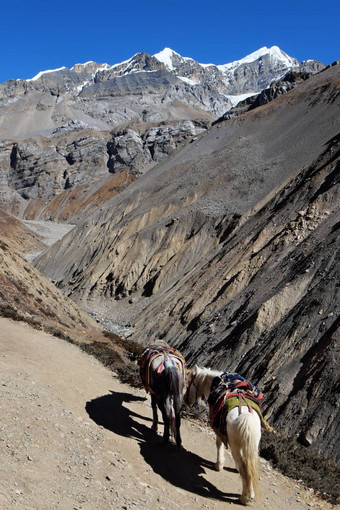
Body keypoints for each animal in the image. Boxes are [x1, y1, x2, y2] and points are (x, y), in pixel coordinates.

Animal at [186, 364, 262, 504]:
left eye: (191, 382)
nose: (187, 400)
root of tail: (246, 417)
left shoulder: (217, 428)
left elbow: (218, 444)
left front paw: (218, 465)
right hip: (252, 444)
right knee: (249, 466)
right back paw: (250, 494)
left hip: (234, 447)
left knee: (245, 469)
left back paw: (245, 497)